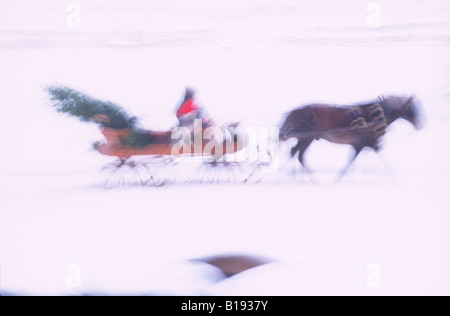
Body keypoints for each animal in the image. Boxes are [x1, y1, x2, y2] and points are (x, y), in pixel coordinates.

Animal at [280, 94, 424, 178]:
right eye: (413, 108)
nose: (421, 124)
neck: (377, 115)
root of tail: (295, 111)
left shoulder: (361, 145)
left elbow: (351, 161)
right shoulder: (371, 144)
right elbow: (384, 160)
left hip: (305, 138)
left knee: (296, 153)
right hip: (307, 137)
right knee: (297, 154)